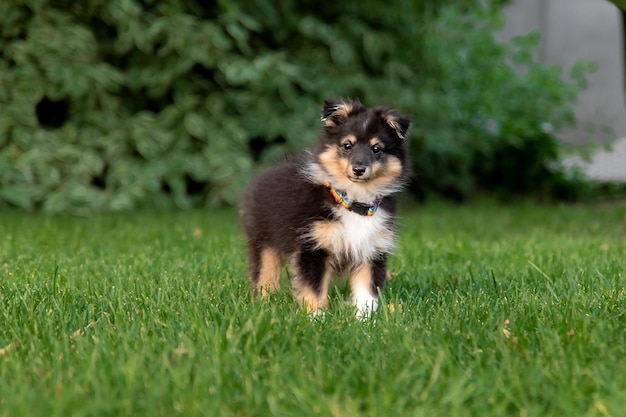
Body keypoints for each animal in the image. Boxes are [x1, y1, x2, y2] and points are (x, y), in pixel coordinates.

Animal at [239, 98, 410, 318]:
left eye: (377, 148)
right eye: (347, 145)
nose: (359, 169)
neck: (353, 202)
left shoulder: (372, 250)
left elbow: (367, 293)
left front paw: (365, 321)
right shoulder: (313, 246)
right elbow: (314, 288)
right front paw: (316, 318)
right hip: (264, 240)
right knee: (264, 274)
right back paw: (264, 305)